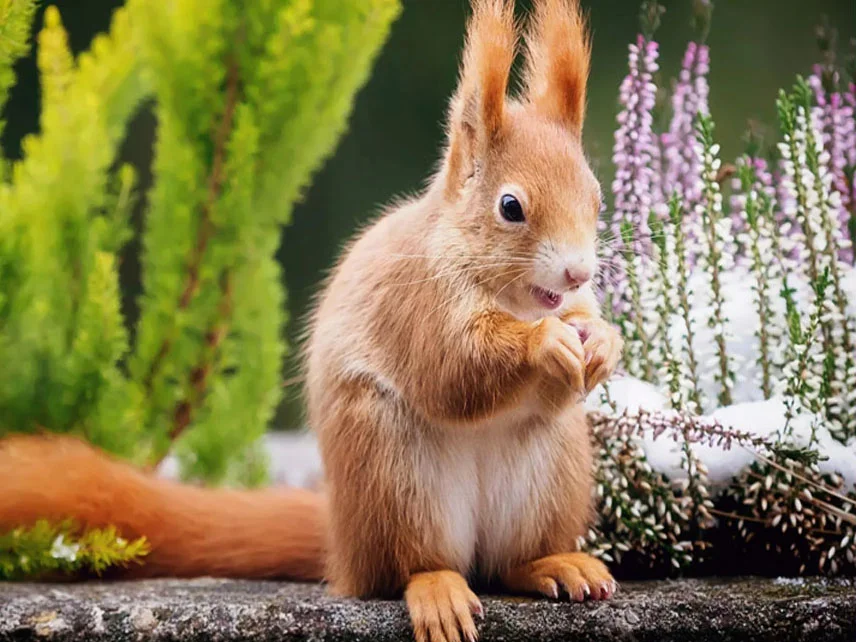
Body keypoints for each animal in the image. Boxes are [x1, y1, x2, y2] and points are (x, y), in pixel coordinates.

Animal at [0, 1, 623, 641]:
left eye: (597, 198)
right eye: (510, 207)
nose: (577, 271)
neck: (513, 296)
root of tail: (341, 546)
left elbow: (574, 338)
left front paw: (603, 343)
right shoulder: (417, 305)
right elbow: (454, 369)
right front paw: (544, 342)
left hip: (553, 472)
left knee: (508, 562)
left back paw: (554, 564)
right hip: (389, 471)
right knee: (409, 566)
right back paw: (438, 590)